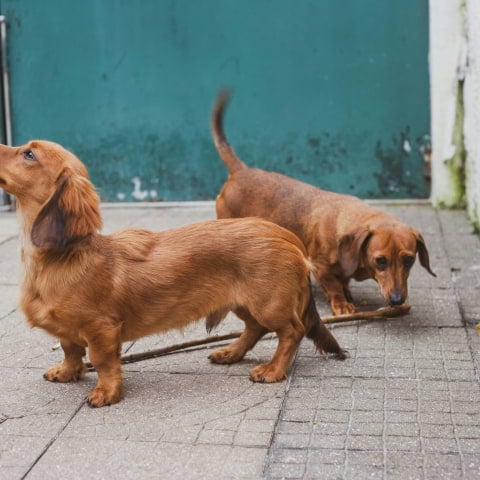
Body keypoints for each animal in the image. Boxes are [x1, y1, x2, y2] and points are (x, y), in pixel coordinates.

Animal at [0, 141, 344, 406]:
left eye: (29, 154)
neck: (60, 258)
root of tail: (289, 238)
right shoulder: (69, 330)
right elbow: (70, 349)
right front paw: (67, 372)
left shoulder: (102, 329)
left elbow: (102, 361)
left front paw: (107, 392)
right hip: (244, 303)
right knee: (256, 328)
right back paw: (231, 352)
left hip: (268, 304)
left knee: (292, 332)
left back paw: (272, 370)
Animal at [210, 91, 436, 316]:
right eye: (380, 261)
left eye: (409, 260)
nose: (398, 300)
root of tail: (240, 171)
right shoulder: (320, 267)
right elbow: (334, 286)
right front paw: (342, 304)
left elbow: (343, 281)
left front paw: (348, 293)